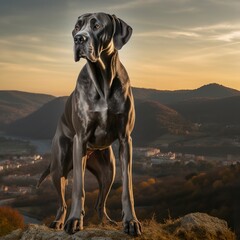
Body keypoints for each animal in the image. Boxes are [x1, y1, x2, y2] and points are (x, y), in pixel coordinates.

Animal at [38, 12, 142, 236]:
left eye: (96, 26)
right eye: (78, 26)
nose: (78, 38)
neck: (102, 80)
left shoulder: (125, 140)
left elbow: (127, 189)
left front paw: (131, 221)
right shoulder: (81, 140)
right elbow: (79, 188)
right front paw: (75, 221)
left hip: (108, 170)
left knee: (100, 203)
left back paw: (107, 223)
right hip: (59, 165)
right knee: (62, 202)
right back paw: (59, 221)